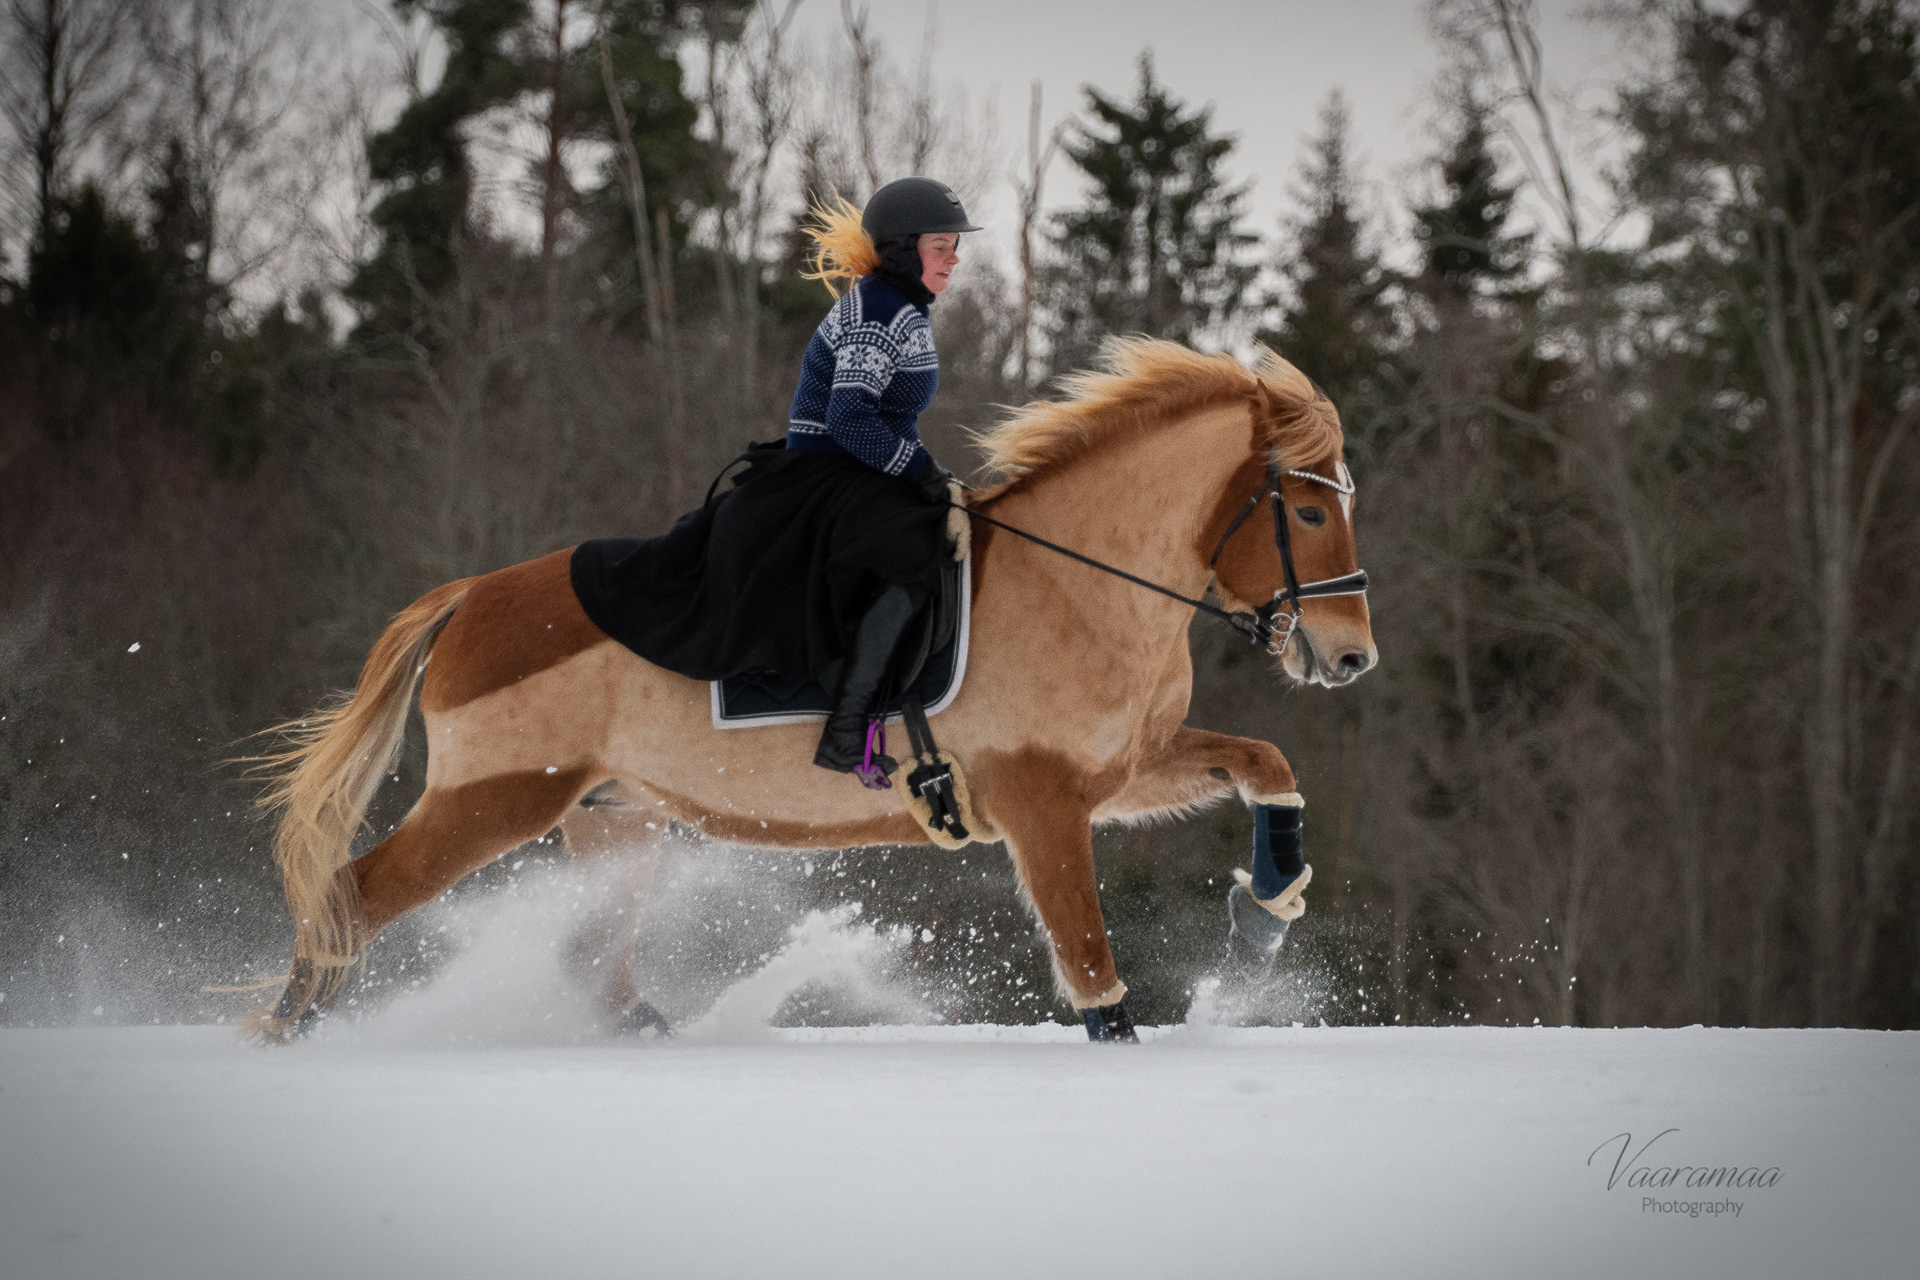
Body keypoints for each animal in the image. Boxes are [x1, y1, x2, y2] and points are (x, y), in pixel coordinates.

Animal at [249, 337, 1376, 1042]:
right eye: (1310, 511)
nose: (1351, 657)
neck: (1082, 580)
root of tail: (473, 595)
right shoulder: (1042, 799)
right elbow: (1091, 958)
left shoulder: (1124, 771)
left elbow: (1267, 766)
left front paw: (1266, 914)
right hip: (492, 801)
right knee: (352, 899)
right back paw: (283, 1032)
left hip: (611, 817)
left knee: (588, 955)